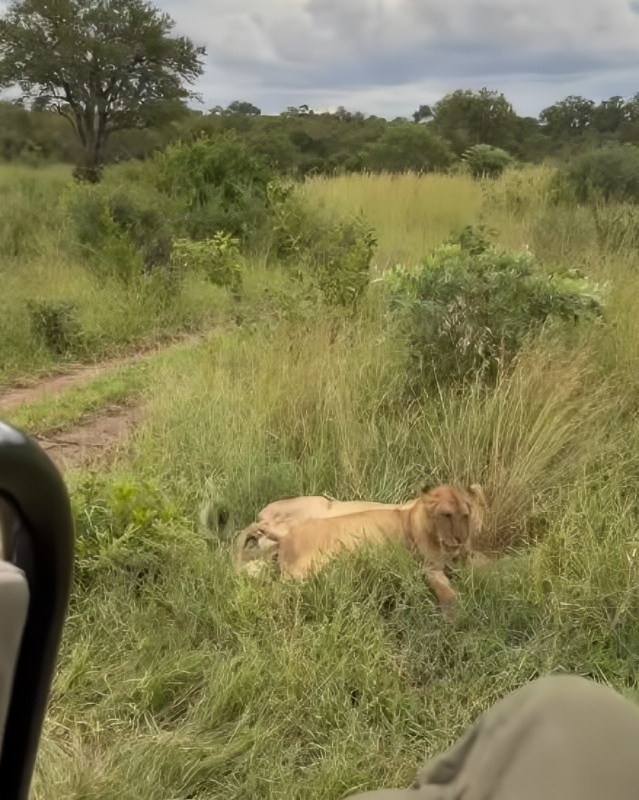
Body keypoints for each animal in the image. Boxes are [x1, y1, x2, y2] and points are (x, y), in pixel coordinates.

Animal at [277, 484, 486, 619]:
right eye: (446, 515)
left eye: (465, 515)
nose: (460, 539)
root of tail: (286, 538)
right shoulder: (429, 568)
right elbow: (448, 593)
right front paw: (454, 617)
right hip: (311, 568)